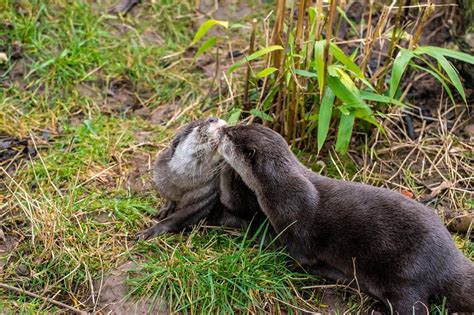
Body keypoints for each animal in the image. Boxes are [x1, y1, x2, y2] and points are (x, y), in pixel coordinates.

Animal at [214, 123, 474, 315]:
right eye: (237, 125)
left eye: (230, 135)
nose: (221, 128)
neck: (281, 189)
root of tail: (448, 262)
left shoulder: (293, 228)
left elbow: (290, 253)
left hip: (405, 278)